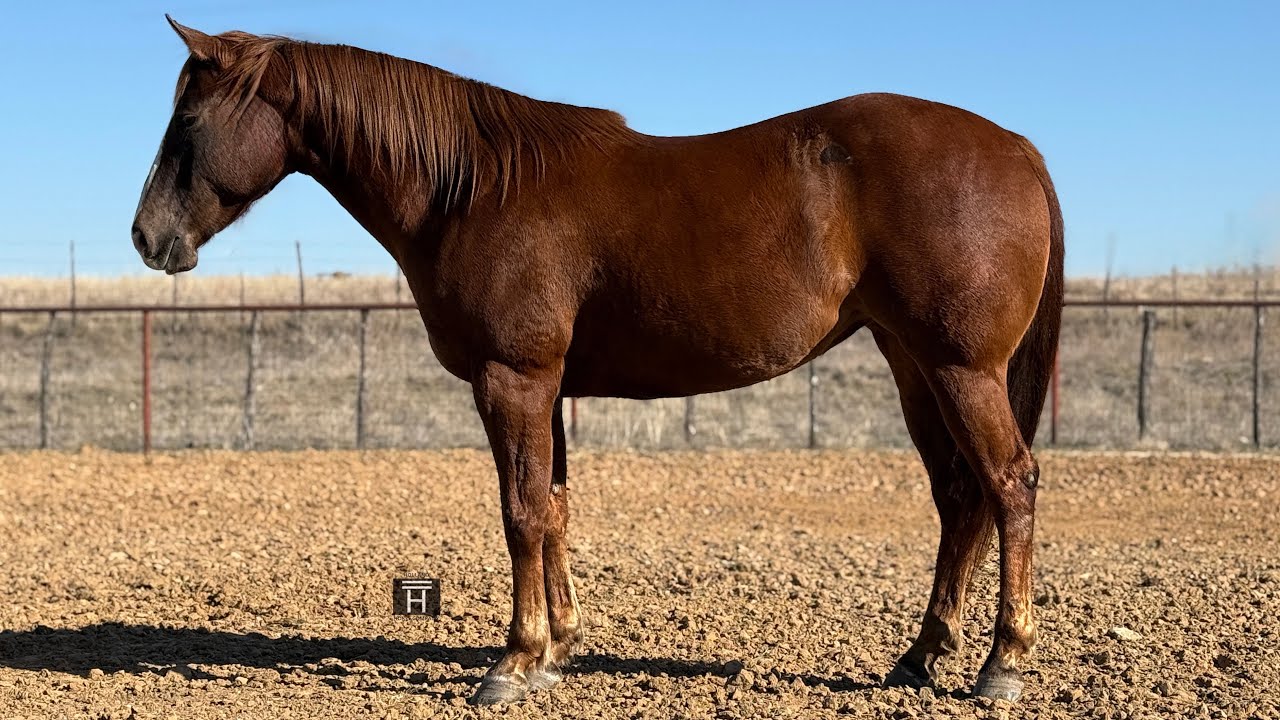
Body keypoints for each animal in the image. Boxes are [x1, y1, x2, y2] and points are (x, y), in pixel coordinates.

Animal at [132, 17, 1063, 706]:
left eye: (187, 122)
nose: (147, 238)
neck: (474, 187)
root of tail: (1017, 145)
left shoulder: (513, 380)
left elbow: (519, 513)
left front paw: (512, 664)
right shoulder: (547, 390)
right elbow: (554, 510)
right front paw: (558, 651)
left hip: (960, 369)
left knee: (1008, 484)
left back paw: (1001, 664)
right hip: (915, 365)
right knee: (959, 498)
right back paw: (921, 656)